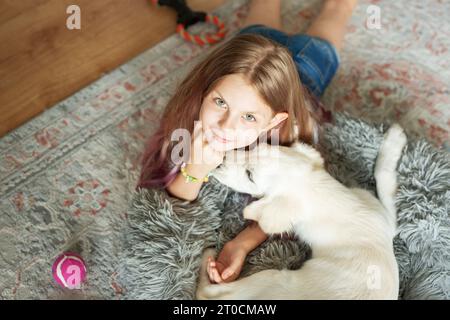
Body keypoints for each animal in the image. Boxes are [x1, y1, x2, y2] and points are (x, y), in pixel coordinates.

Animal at [197, 124, 408, 298]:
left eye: (250, 175)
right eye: (256, 147)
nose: (220, 157)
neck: (324, 194)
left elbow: (384, 181)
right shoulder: (383, 217)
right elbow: (385, 180)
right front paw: (394, 142)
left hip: (272, 279)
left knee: (210, 293)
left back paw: (207, 260)